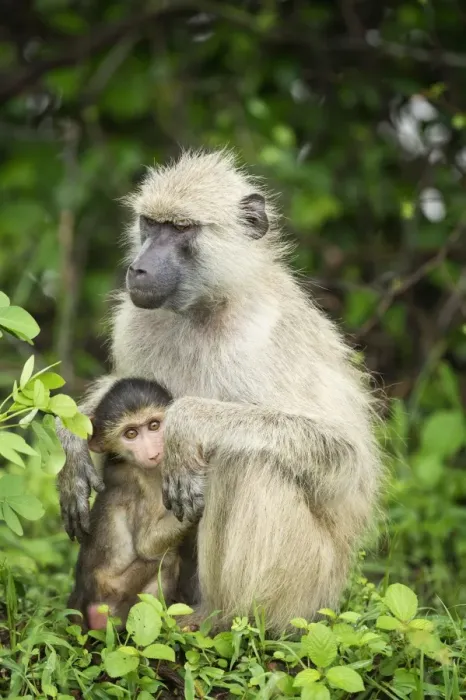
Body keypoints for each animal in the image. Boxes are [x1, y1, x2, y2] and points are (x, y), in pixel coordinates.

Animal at [67, 377, 198, 629]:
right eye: (130, 434)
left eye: (154, 426)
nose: (152, 452)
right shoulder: (140, 486)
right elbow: (147, 544)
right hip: (115, 597)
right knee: (167, 560)